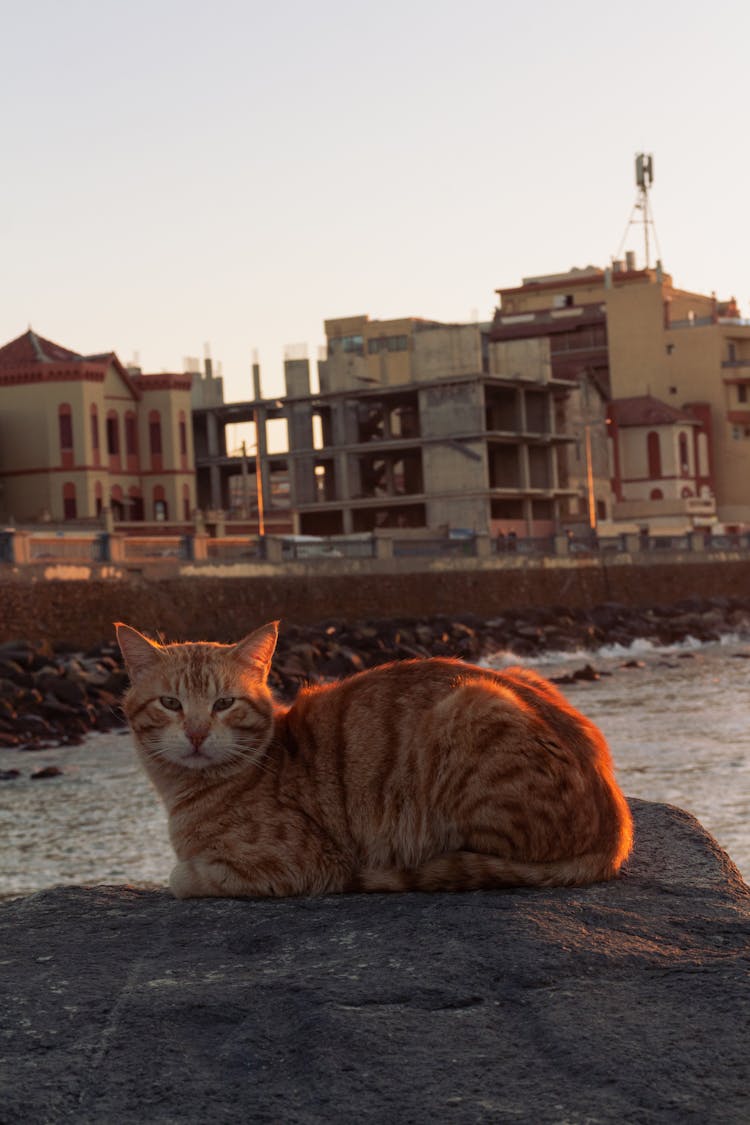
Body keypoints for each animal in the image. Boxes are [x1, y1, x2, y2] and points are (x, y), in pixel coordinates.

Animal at [117, 621, 634, 900]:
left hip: (471, 704)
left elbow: (181, 877)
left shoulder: (300, 863)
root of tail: (617, 828)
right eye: (170, 704)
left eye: (224, 704)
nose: (196, 733)